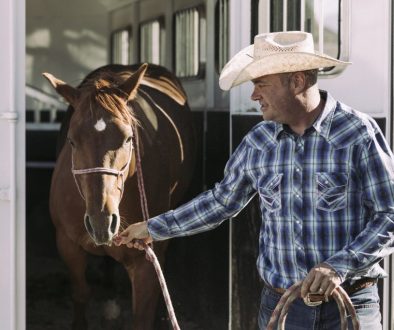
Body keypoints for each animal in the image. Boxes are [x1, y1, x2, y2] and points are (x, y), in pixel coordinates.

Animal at [43, 63, 195, 328]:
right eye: (72, 141)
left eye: (128, 138)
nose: (101, 220)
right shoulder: (68, 245)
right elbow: (80, 294)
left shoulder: (145, 263)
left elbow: (143, 315)